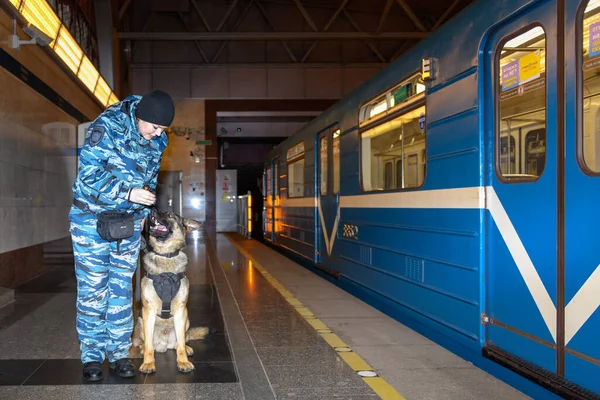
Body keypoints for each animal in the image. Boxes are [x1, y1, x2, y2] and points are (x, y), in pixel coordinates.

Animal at [133, 208, 209, 374]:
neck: (166, 255)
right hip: (141, 322)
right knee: (145, 343)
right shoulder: (148, 312)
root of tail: (163, 345)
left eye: (169, 215)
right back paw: (141, 349)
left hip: (186, 320)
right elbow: (149, 346)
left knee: (180, 341)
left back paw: (187, 348)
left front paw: (183, 361)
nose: (152, 211)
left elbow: (180, 343)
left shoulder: (181, 312)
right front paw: (148, 363)